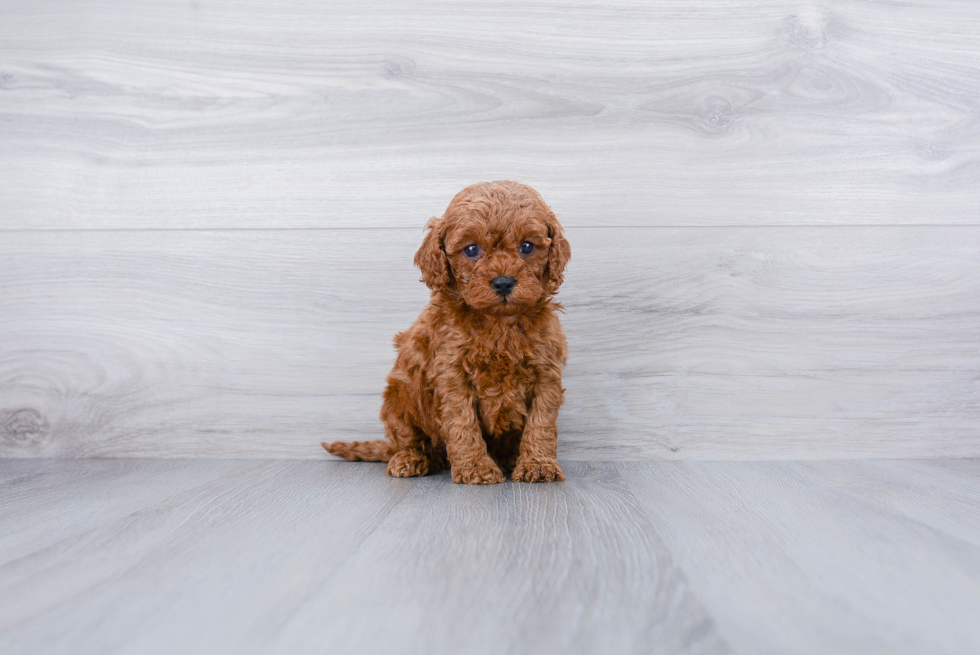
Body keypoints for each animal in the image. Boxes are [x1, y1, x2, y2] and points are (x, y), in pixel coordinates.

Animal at [324, 182, 568, 484]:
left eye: (527, 246)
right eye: (471, 249)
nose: (503, 282)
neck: (498, 322)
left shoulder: (546, 371)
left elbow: (541, 423)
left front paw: (538, 464)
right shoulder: (452, 374)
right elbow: (463, 423)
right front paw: (476, 467)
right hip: (399, 397)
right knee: (407, 439)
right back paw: (410, 459)